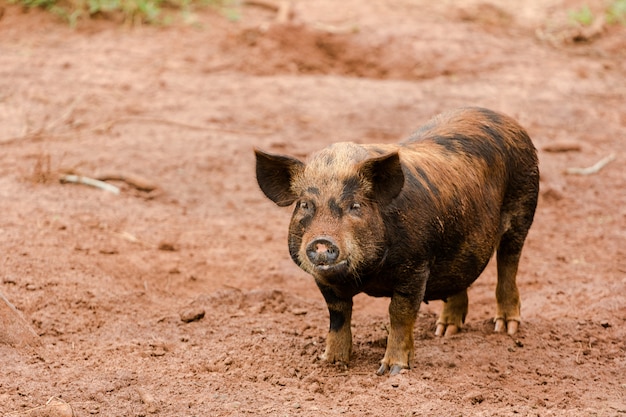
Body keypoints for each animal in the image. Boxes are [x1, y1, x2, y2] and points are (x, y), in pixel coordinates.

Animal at [254, 106, 536, 374]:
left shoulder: (416, 265)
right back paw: (444, 332)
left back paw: (506, 328)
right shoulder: (324, 280)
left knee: (508, 263)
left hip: (524, 208)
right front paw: (330, 362)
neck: (366, 277)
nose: (322, 241)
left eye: (355, 206)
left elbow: (399, 314)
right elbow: (338, 316)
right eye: (305, 205)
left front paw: (392, 370)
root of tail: (507, 120)